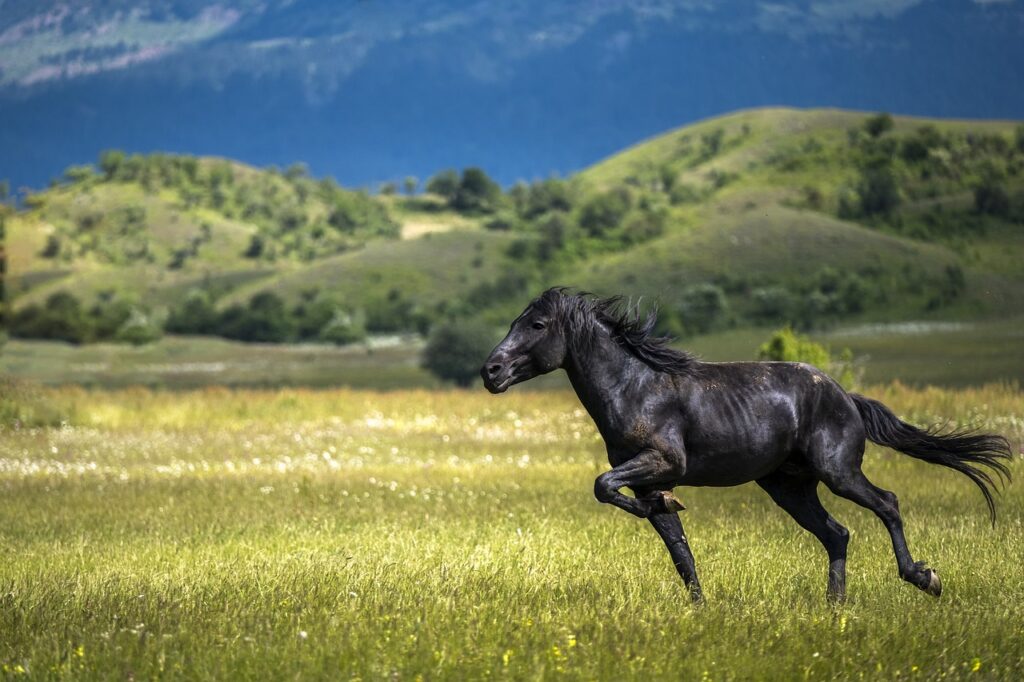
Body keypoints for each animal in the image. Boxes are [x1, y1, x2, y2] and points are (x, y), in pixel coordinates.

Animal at [480, 288, 1013, 603]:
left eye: (536, 325)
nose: (491, 372)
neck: (636, 387)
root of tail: (846, 396)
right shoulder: (649, 478)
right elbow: (675, 545)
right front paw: (697, 604)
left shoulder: (662, 461)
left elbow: (602, 485)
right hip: (789, 487)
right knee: (837, 533)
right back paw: (834, 607)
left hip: (839, 472)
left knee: (887, 504)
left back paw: (924, 578)